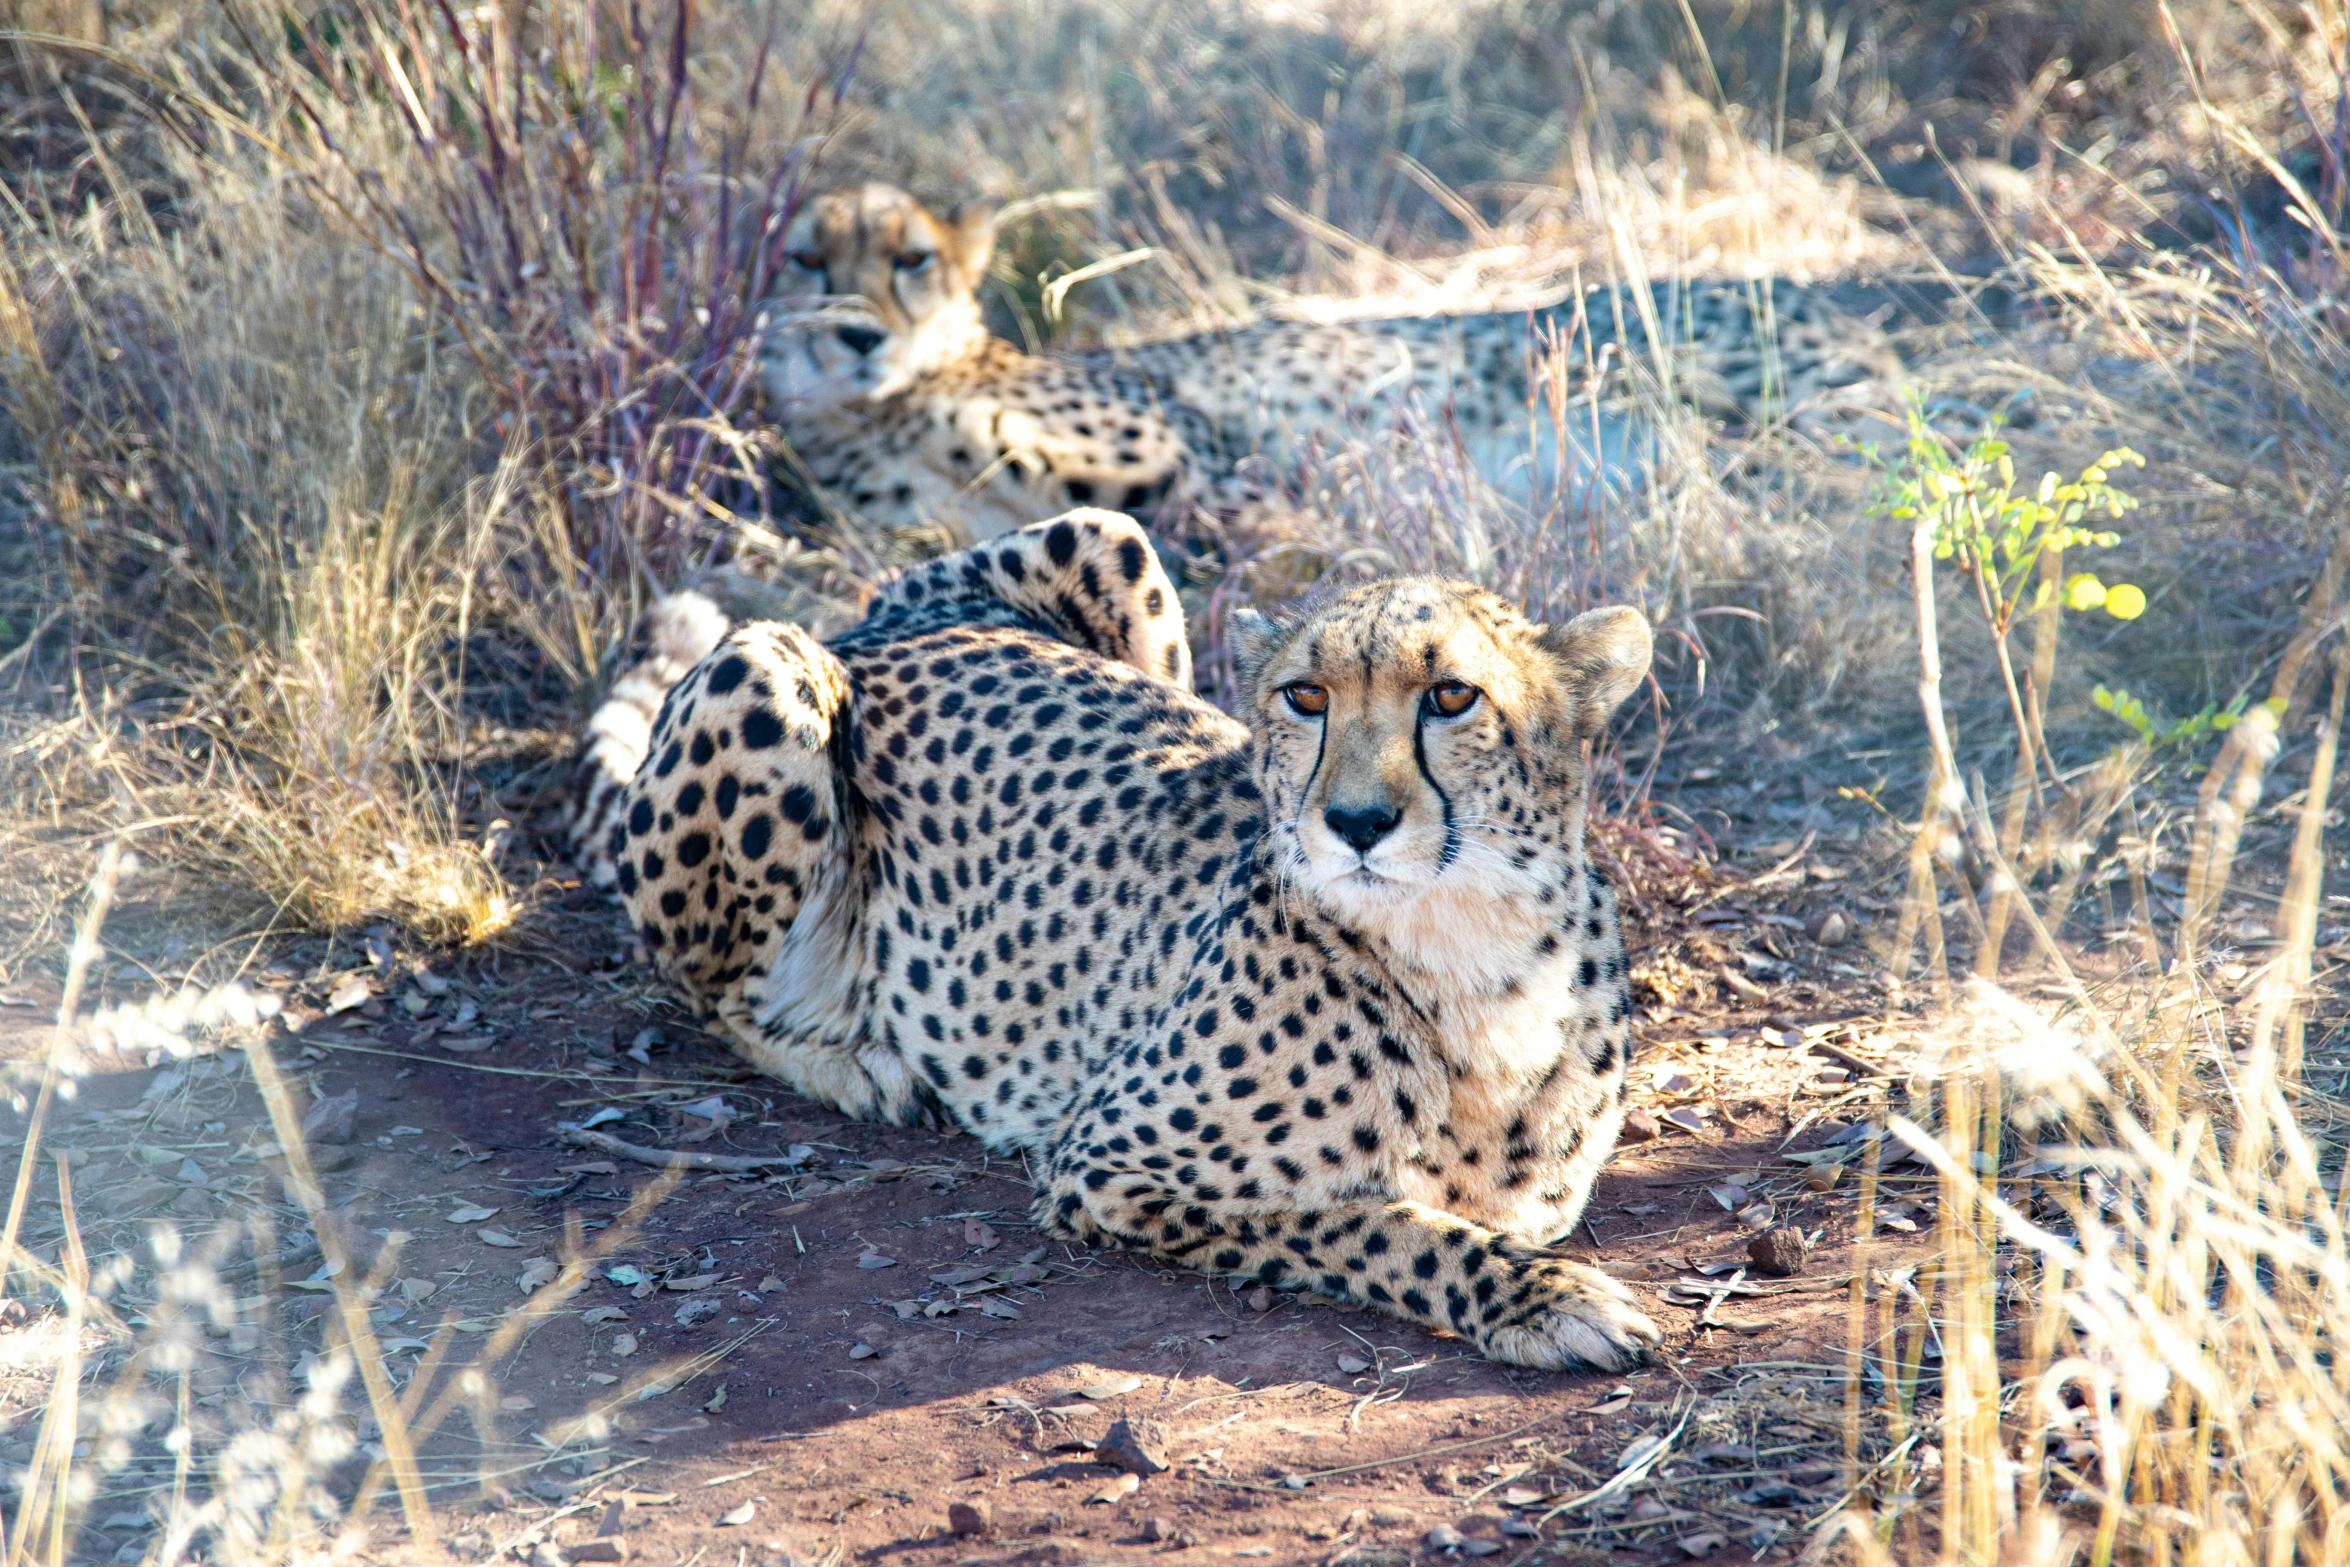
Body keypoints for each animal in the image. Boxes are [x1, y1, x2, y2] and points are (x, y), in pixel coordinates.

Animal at [571, 509, 1673, 1362]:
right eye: (1305, 696)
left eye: (1451, 696)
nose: (1355, 821)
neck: (1469, 950)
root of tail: (879, 625)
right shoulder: (1105, 1162)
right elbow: (1381, 1220)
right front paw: (1543, 1298)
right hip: (766, 671)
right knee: (708, 989)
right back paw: (858, 1065)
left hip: (1111, 537)